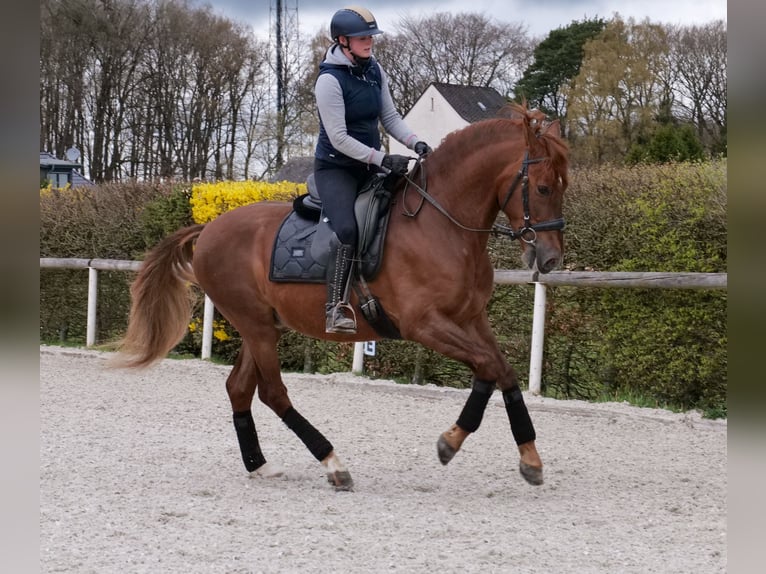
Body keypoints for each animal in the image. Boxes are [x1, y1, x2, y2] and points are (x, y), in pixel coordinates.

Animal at [114, 102, 569, 491]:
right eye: (544, 188)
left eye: (562, 186)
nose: (550, 258)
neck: (443, 226)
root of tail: (208, 229)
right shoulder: (425, 325)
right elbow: (489, 366)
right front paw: (450, 442)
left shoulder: (472, 319)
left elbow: (500, 370)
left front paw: (528, 457)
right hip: (255, 326)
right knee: (273, 393)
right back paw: (333, 463)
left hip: (263, 327)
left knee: (239, 388)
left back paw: (259, 465)